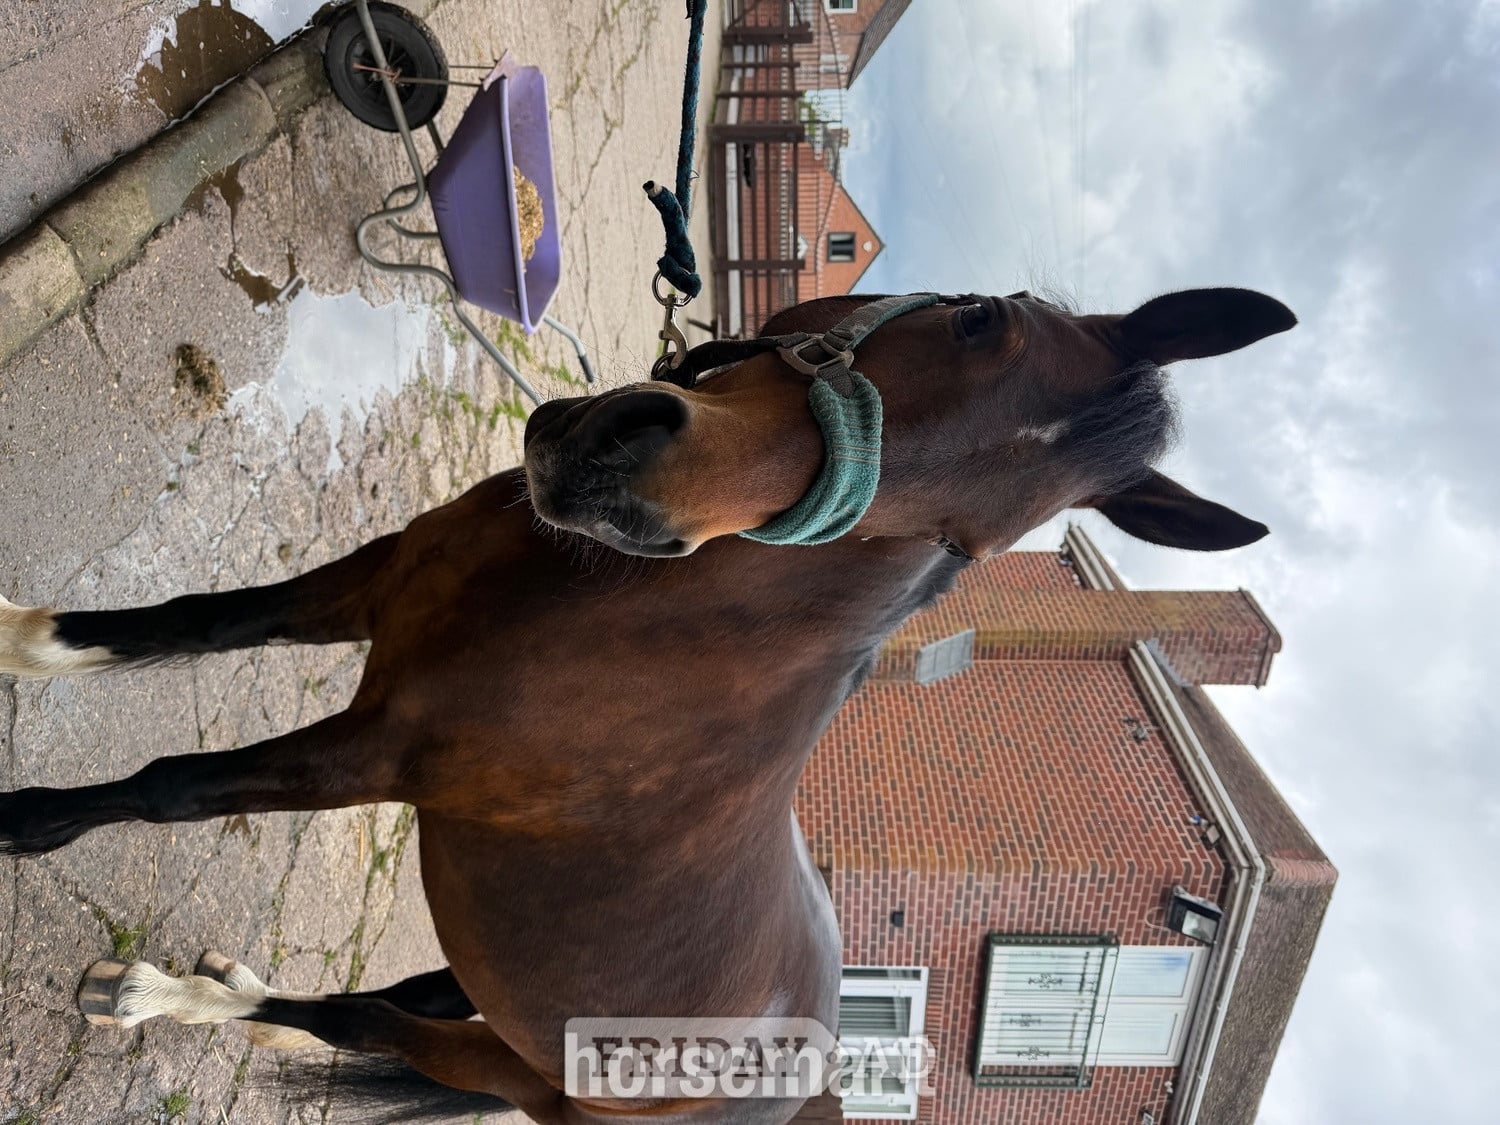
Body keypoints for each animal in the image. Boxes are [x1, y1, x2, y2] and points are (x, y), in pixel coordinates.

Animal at [0, 286, 1295, 1123]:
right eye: (983, 319)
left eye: (966, 545)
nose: (622, 467)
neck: (633, 617)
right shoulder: (381, 582)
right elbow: (198, 620)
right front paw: (26, 637)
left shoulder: (381, 754)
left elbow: (173, 787)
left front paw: (24, 821)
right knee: (372, 1001)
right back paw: (217, 1001)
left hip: (510, 1070)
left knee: (371, 1026)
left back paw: (171, 997)